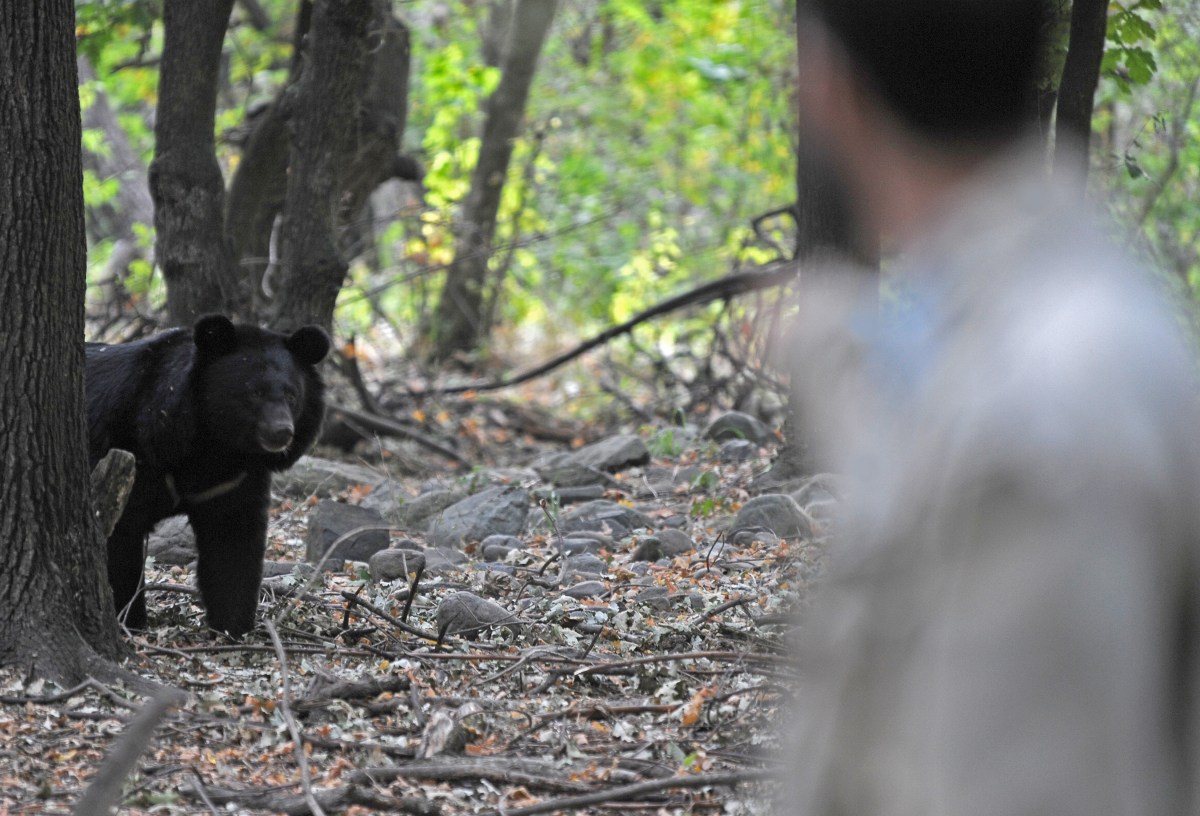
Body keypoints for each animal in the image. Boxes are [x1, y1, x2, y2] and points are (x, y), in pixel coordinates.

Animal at [85, 312, 331, 638]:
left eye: (292, 395)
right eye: (254, 392)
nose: (282, 432)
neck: (215, 444)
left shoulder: (232, 482)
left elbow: (232, 545)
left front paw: (233, 628)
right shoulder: (130, 452)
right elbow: (119, 538)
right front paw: (129, 620)